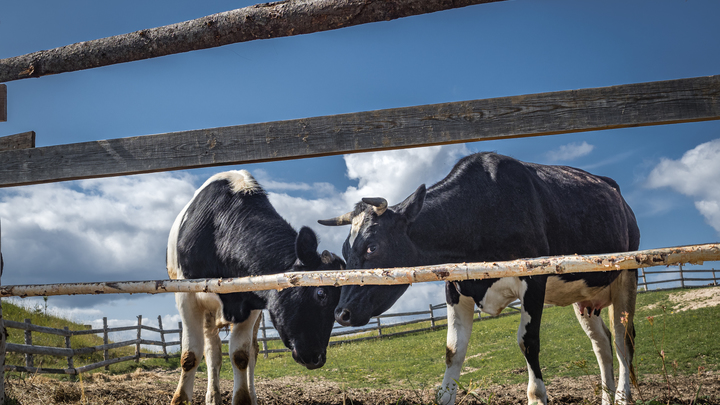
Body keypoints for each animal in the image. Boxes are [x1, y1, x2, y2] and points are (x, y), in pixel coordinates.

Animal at [170, 170, 348, 404]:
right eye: (321, 293)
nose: (317, 358)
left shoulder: (252, 303)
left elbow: (241, 356)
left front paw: (244, 397)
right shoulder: (186, 296)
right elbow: (190, 356)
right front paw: (180, 398)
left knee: (250, 352)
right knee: (212, 352)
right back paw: (213, 396)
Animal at [320, 152, 640, 404]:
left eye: (372, 246)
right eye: (345, 251)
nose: (340, 313)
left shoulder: (533, 279)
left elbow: (528, 342)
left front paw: (537, 395)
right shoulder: (454, 287)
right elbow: (453, 351)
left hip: (628, 272)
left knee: (622, 340)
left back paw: (622, 397)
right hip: (584, 296)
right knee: (602, 344)